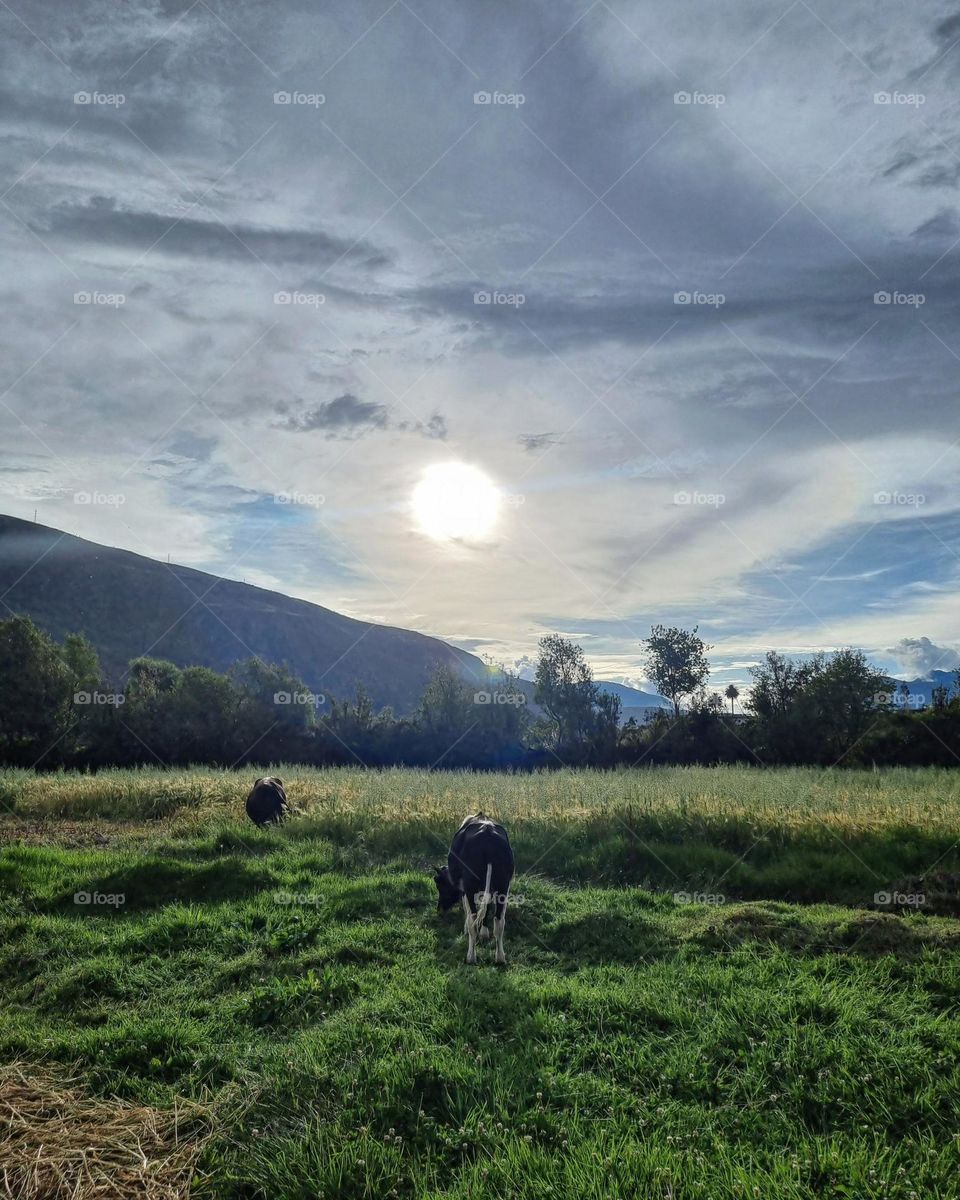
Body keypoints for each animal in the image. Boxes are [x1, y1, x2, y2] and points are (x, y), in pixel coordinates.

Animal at [434, 811, 513, 960]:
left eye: (439, 883)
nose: (439, 909)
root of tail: (488, 836)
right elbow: (487, 908)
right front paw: (484, 932)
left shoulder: (463, 889)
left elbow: (468, 910)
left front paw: (467, 929)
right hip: (503, 885)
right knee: (499, 921)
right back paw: (500, 957)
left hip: (470, 886)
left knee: (473, 918)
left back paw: (471, 957)